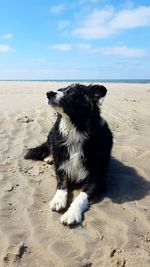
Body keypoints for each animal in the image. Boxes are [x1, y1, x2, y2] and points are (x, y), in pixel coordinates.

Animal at [24, 83, 112, 226]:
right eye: (60, 90)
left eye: (72, 93)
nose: (48, 93)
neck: (75, 130)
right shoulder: (61, 165)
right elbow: (62, 183)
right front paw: (58, 200)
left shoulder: (96, 178)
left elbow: (81, 196)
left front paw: (71, 214)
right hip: (51, 135)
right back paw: (49, 158)